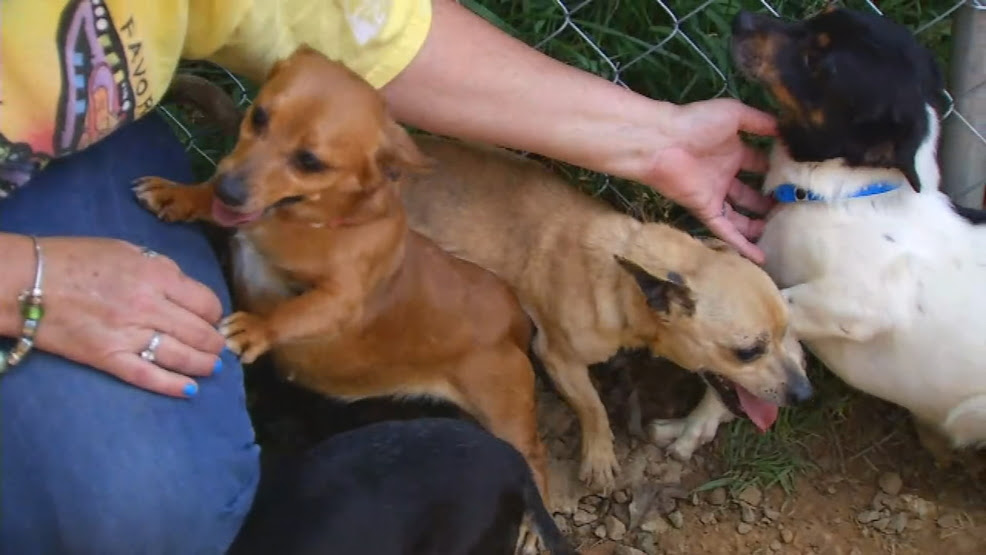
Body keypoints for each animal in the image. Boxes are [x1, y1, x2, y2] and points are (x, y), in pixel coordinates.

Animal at [399, 135, 812, 491]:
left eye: (788, 333)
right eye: (747, 351)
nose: (805, 393)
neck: (621, 271)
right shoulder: (559, 358)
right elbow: (593, 407)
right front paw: (599, 458)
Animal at [732, 6, 986, 462]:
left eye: (817, 63)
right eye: (816, 18)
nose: (741, 19)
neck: (840, 195)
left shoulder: (863, 302)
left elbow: (780, 302)